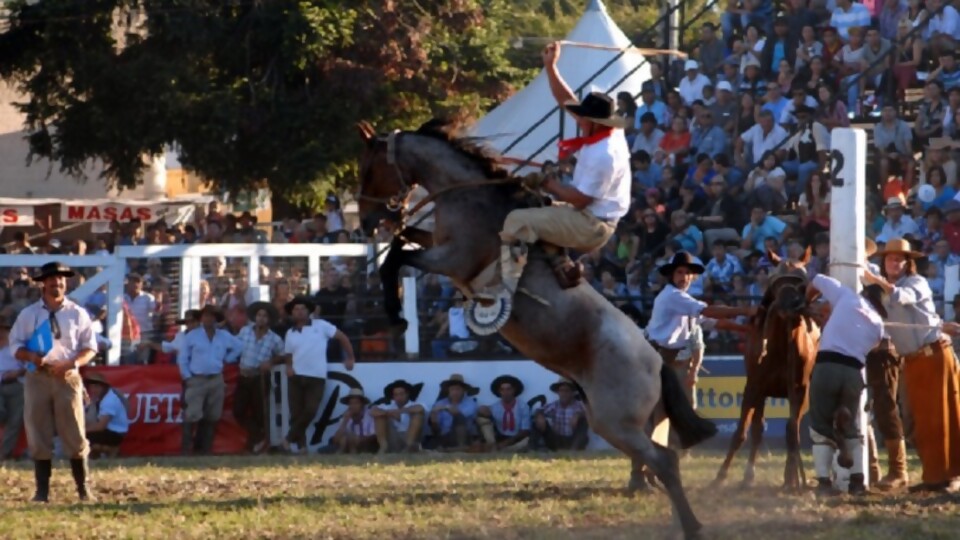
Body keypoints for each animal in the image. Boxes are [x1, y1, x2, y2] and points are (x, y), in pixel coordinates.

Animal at [356, 121, 716, 540]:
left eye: (369, 169)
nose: (366, 224)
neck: (471, 196)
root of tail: (655, 361)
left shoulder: (452, 259)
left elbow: (396, 257)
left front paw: (396, 314)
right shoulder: (437, 243)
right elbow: (404, 242)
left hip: (616, 423)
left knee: (665, 461)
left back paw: (692, 526)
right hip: (634, 423)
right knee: (660, 460)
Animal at [708, 249, 820, 490]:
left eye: (801, 282)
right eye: (776, 281)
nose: (790, 304)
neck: (779, 349)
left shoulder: (799, 391)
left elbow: (792, 432)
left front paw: (792, 478)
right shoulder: (753, 387)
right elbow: (742, 432)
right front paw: (721, 476)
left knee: (789, 429)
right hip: (761, 394)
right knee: (758, 429)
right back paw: (748, 475)